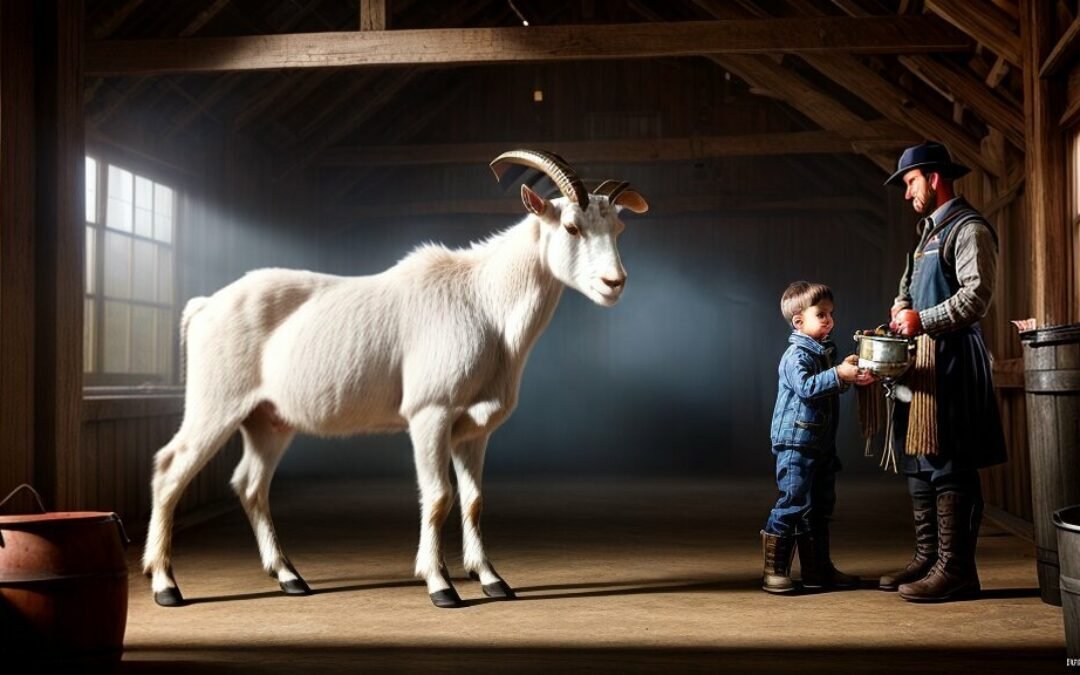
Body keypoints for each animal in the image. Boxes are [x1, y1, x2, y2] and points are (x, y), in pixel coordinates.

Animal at [142, 150, 649, 608]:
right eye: (571, 227)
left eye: (618, 229)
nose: (614, 283)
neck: (484, 302)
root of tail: (204, 305)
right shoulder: (429, 413)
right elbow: (439, 495)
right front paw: (441, 586)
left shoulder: (474, 428)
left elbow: (474, 500)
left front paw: (491, 579)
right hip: (215, 405)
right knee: (170, 468)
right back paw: (166, 585)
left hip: (268, 420)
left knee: (250, 484)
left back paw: (289, 577)